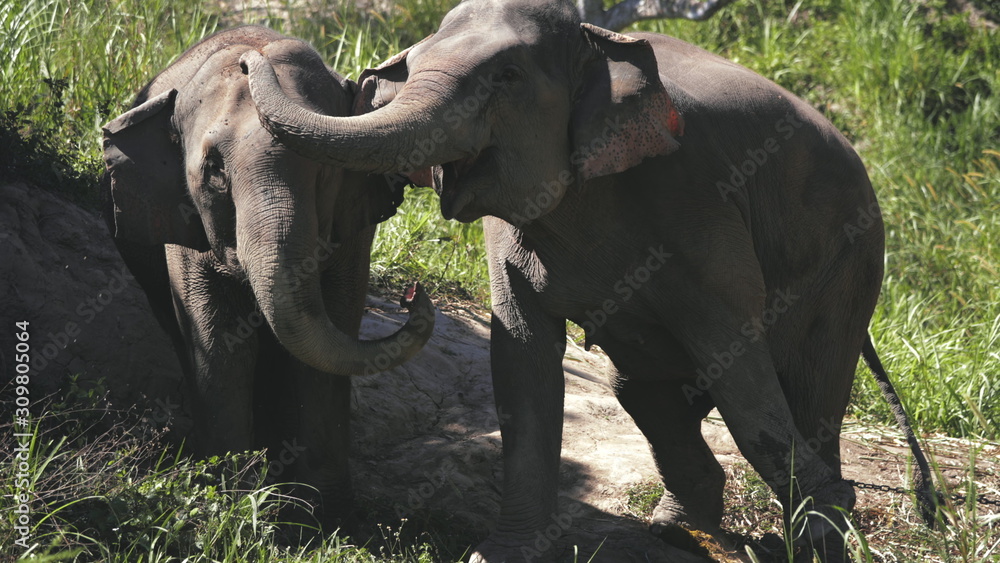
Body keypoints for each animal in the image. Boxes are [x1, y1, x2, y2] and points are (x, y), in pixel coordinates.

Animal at [102, 25, 435, 518]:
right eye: (215, 170)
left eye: (326, 166)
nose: (413, 294)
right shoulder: (183, 223)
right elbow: (219, 339)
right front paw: (229, 502)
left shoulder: (354, 227)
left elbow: (332, 324)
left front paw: (325, 515)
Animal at [239, 2, 935, 559]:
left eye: (507, 78)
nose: (248, 59)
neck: (594, 44)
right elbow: (522, 363)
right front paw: (504, 553)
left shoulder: (698, 200)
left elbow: (738, 369)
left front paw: (823, 523)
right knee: (645, 391)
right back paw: (681, 528)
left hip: (847, 258)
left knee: (807, 383)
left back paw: (810, 523)